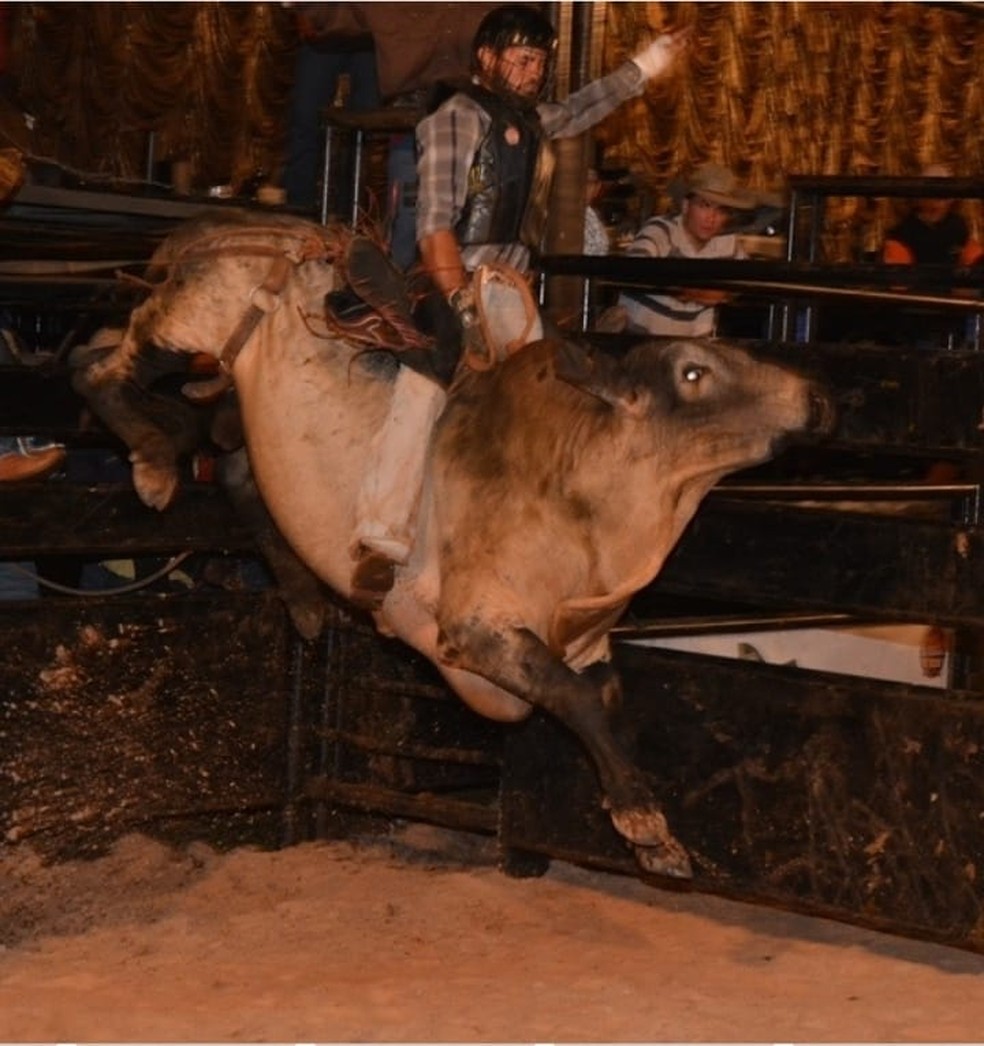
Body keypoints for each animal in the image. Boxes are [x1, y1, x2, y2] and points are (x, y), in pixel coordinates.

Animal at [73, 214, 832, 882]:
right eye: (694, 374)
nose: (818, 399)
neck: (589, 495)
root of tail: (209, 229)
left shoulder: (588, 643)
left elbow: (601, 699)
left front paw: (646, 829)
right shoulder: (477, 624)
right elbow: (572, 699)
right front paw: (646, 827)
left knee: (227, 460)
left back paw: (303, 600)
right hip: (185, 317)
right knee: (100, 365)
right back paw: (152, 463)